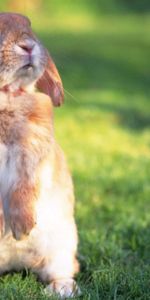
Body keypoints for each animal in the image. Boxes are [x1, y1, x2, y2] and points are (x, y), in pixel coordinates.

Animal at [0, 12, 79, 298]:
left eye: (29, 25)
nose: (28, 46)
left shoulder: (32, 155)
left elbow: (24, 189)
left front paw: (22, 229)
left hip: (63, 245)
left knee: (63, 269)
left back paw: (60, 289)